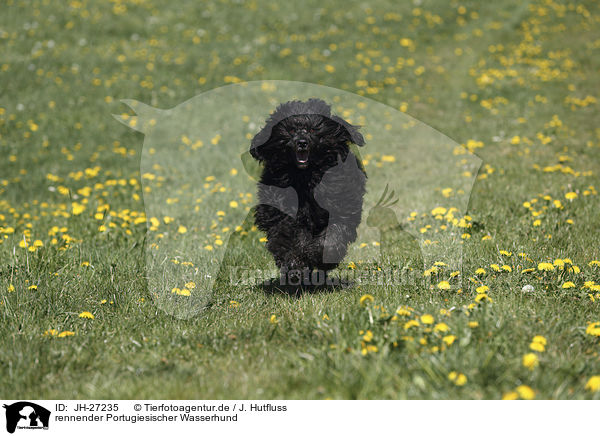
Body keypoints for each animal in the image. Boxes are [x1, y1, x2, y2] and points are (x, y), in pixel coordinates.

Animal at [248, 99, 366, 286]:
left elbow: (332, 237)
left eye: (312, 130)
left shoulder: (341, 209)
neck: (306, 178)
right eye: (291, 130)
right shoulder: (281, 214)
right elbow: (287, 238)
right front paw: (295, 264)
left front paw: (318, 255)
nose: (302, 142)